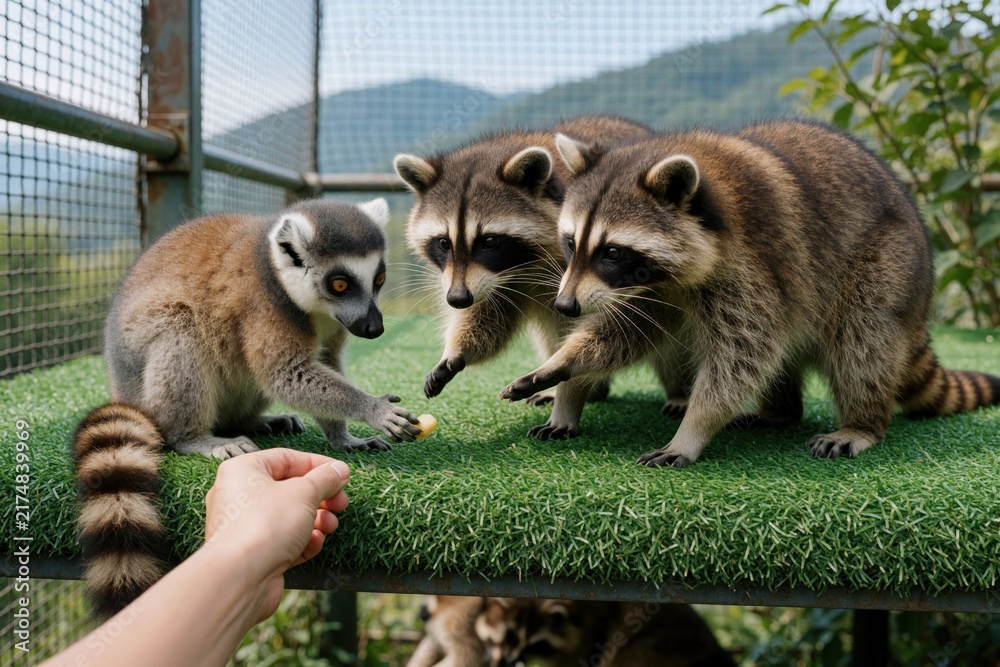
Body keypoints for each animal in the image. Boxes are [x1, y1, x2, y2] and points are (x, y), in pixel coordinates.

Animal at [394, 116, 654, 440]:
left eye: (490, 241)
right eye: (443, 243)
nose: (456, 299)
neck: (520, 267)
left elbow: (592, 336)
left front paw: (567, 399)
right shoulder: (492, 283)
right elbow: (486, 318)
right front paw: (454, 353)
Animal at [475, 598, 733, 667]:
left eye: (537, 644)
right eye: (511, 635)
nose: (510, 661)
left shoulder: (591, 637)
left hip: (658, 648)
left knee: (633, 652)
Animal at [501, 120, 1000, 466]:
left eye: (611, 252)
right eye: (570, 243)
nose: (565, 304)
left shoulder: (751, 268)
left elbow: (741, 356)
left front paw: (693, 428)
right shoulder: (650, 289)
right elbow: (623, 333)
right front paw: (563, 369)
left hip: (889, 265)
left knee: (862, 340)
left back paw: (862, 423)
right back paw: (781, 411)